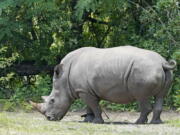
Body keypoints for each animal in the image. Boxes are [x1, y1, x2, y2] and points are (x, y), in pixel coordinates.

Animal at [29, 46, 176, 124]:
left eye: (52, 100)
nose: (49, 118)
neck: (64, 79)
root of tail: (162, 62)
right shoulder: (85, 90)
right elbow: (89, 106)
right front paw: (87, 121)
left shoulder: (84, 91)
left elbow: (94, 106)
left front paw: (97, 122)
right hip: (161, 71)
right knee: (160, 96)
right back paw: (156, 123)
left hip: (144, 71)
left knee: (142, 97)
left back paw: (138, 123)